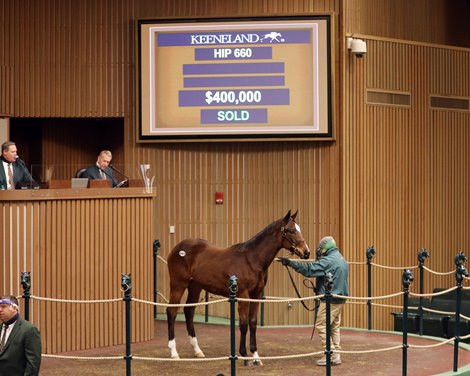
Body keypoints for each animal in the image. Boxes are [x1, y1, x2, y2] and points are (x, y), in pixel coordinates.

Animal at [167, 210, 310, 362]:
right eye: (291, 230)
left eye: (299, 229)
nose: (306, 252)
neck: (251, 260)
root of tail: (177, 248)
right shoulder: (243, 295)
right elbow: (243, 324)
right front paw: (244, 355)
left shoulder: (256, 295)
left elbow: (252, 322)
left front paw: (256, 356)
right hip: (178, 284)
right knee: (172, 312)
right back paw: (174, 352)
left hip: (195, 287)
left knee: (189, 311)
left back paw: (197, 350)